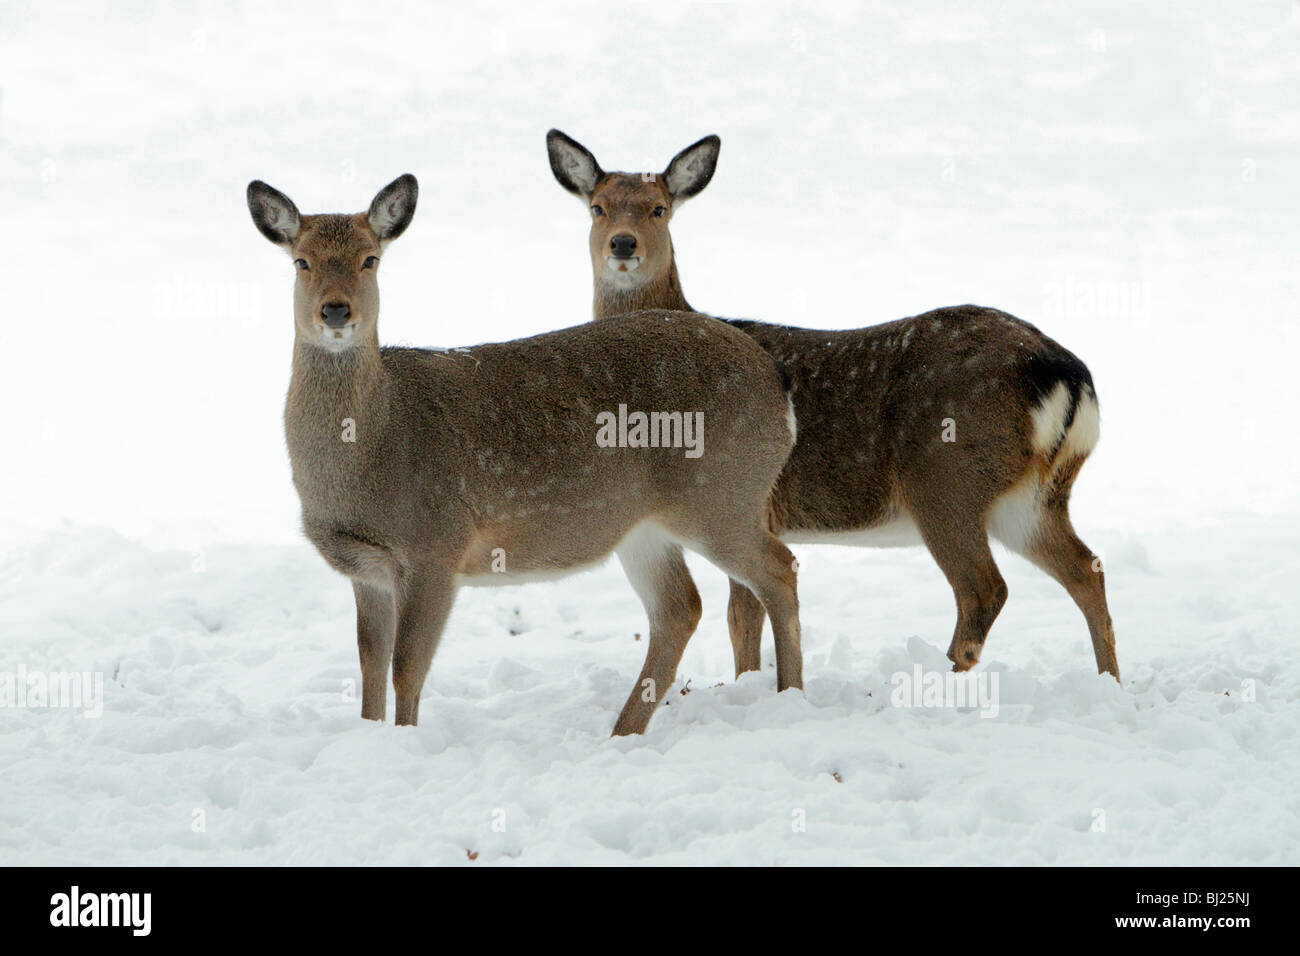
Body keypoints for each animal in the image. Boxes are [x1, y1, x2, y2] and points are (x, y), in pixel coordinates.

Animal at [245, 174, 800, 738]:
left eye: (370, 259)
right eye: (302, 261)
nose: (336, 310)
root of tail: (777, 382)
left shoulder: (436, 545)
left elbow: (407, 668)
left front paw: (404, 740)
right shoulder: (366, 568)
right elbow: (369, 667)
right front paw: (371, 735)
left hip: (721, 495)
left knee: (779, 569)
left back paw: (790, 694)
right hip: (647, 526)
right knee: (680, 608)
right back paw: (622, 732)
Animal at [543, 130, 1123, 686]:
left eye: (659, 208)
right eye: (597, 206)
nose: (623, 244)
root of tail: (1066, 373)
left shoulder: (741, 502)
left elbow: (742, 615)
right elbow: (743, 616)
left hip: (948, 478)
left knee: (984, 588)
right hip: (1032, 496)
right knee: (1086, 568)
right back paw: (1110, 682)